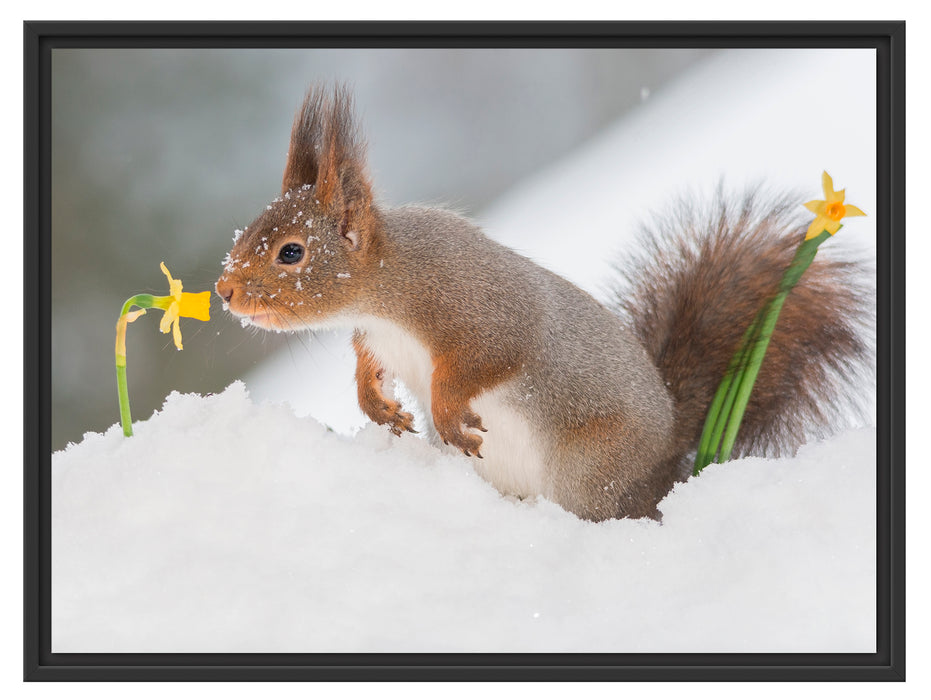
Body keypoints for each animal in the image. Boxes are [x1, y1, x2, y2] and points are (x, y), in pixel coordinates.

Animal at [215, 85, 872, 520]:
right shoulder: (377, 339)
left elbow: (486, 361)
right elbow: (367, 368)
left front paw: (447, 414)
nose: (224, 291)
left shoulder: (481, 311)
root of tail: (668, 459)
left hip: (592, 472)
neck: (387, 290)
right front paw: (380, 408)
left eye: (292, 253)